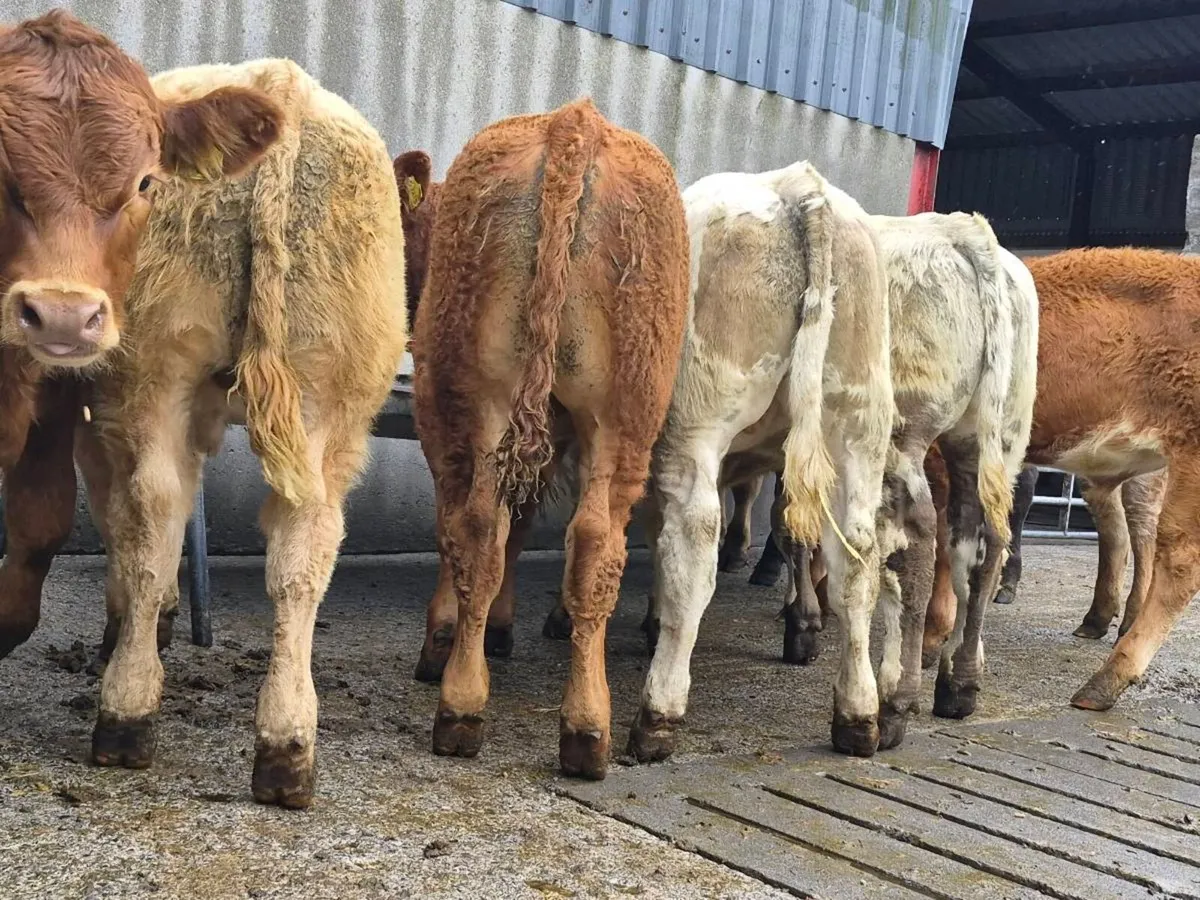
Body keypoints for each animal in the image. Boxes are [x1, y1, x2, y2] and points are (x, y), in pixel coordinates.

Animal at [46, 57, 405, 809]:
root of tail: (282, 84)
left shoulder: (101, 420)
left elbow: (120, 520)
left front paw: (132, 623)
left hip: (153, 374)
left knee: (151, 519)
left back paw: (125, 711)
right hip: (328, 395)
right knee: (303, 548)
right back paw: (287, 746)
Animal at [411, 98, 690, 780]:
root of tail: (575, 122)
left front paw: (451, 637)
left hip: (484, 400)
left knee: (485, 529)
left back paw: (479, 709)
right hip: (616, 412)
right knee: (581, 543)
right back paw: (574, 725)